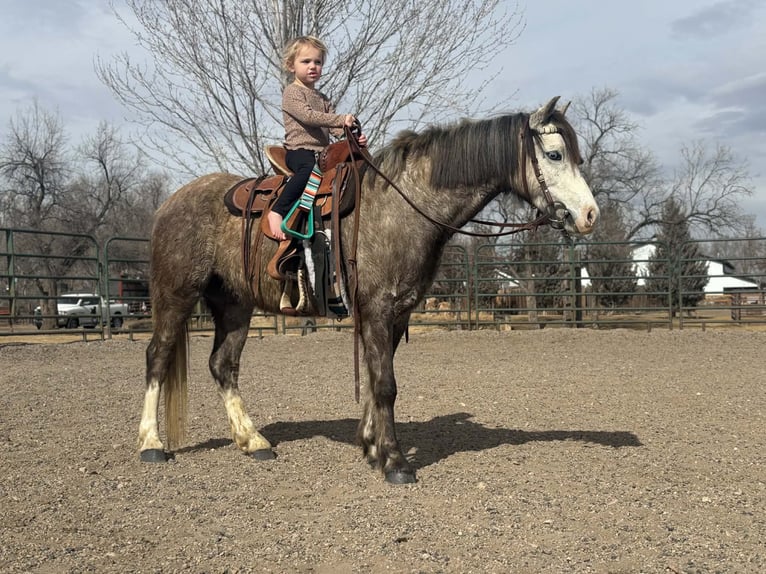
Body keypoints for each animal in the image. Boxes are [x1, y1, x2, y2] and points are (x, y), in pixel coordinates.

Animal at [137, 96, 599, 484]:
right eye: (554, 154)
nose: (590, 215)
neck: (404, 206)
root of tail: (171, 202)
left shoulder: (397, 313)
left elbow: (380, 380)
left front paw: (372, 446)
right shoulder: (377, 308)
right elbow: (386, 385)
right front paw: (395, 462)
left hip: (234, 303)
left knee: (223, 365)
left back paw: (253, 441)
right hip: (176, 294)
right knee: (158, 356)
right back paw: (151, 444)